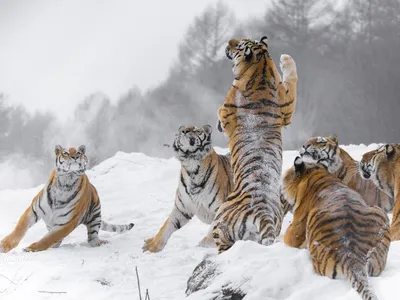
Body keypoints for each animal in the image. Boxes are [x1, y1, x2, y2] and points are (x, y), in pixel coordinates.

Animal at [0, 144, 135, 252]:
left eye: (79, 152)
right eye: (66, 153)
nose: (75, 157)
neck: (65, 182)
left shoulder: (67, 222)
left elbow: (48, 239)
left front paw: (30, 248)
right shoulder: (34, 209)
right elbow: (20, 228)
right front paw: (4, 246)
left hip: (95, 215)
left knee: (92, 238)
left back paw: (99, 242)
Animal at [141, 125, 233, 253]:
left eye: (197, 130)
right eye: (182, 130)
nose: (184, 131)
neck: (191, 167)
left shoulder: (221, 208)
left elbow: (215, 228)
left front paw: (204, 245)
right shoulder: (181, 209)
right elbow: (166, 226)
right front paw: (151, 246)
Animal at [212, 35, 296, 253]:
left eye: (239, 45)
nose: (229, 41)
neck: (261, 66)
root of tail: (262, 213)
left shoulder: (225, 110)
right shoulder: (287, 104)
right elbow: (293, 78)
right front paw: (286, 58)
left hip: (219, 219)